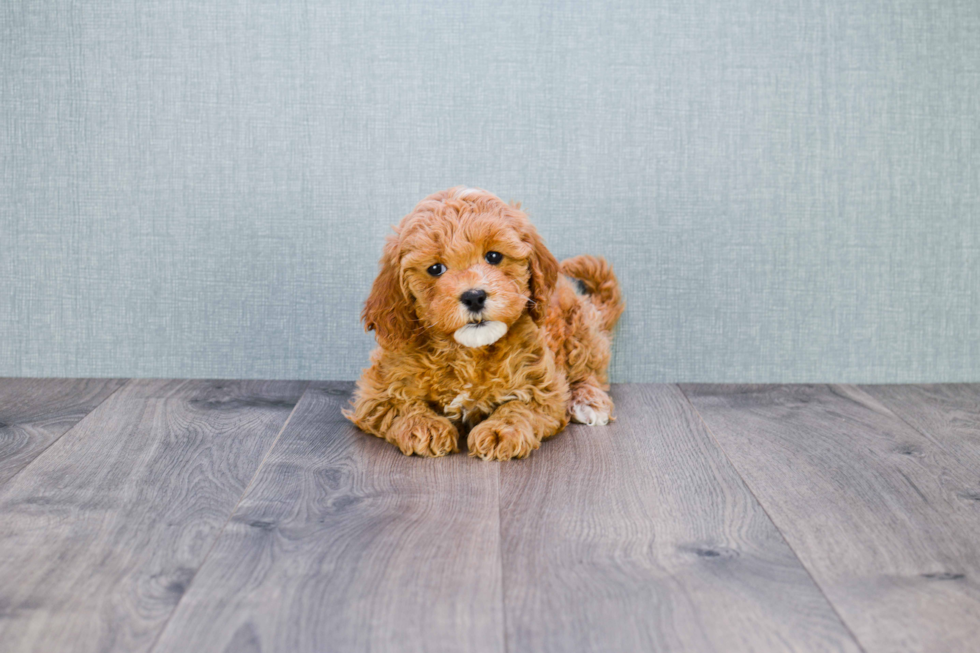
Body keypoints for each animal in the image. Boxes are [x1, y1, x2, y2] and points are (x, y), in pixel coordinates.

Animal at [344, 185, 620, 458]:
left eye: (494, 256)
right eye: (435, 269)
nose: (474, 296)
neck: (467, 352)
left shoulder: (544, 386)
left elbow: (521, 406)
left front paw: (500, 431)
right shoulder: (376, 390)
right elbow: (399, 403)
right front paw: (427, 426)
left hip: (578, 331)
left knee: (588, 372)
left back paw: (588, 401)